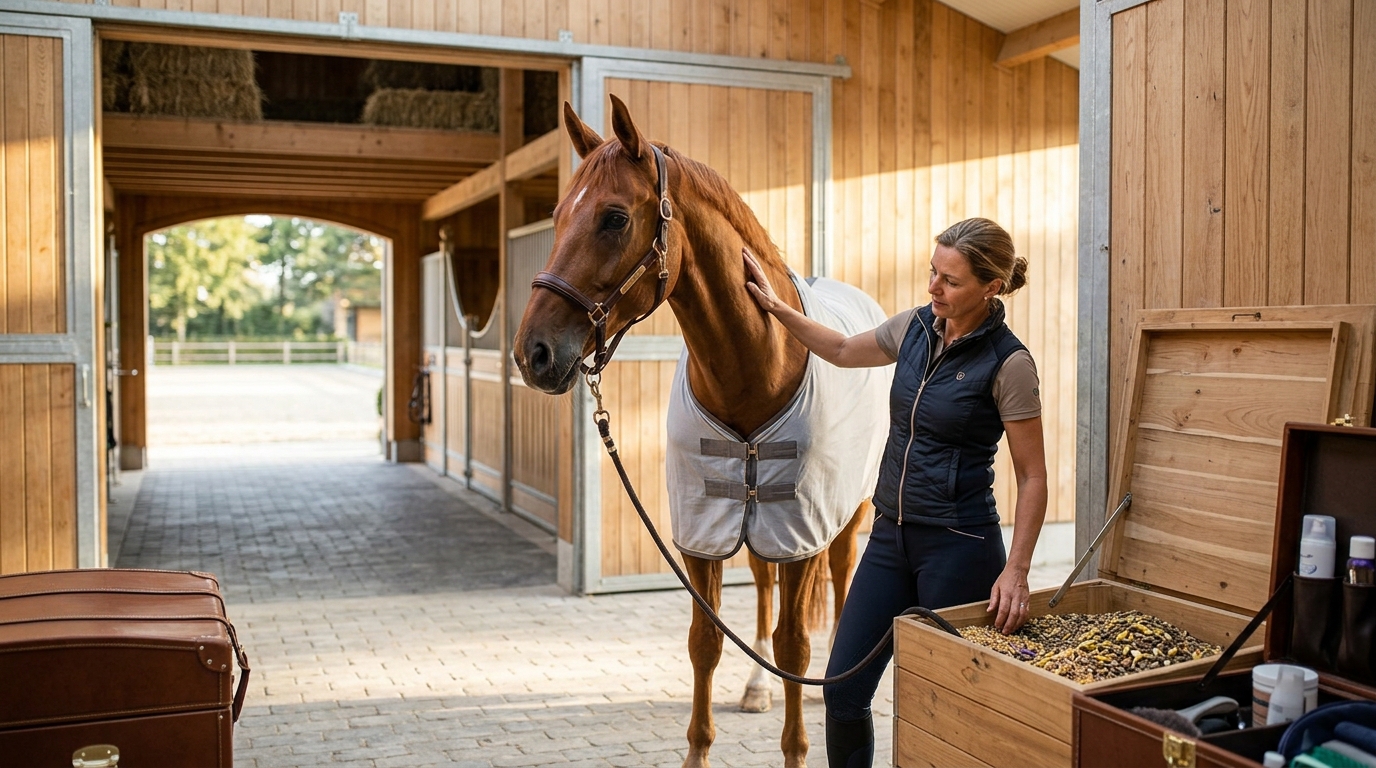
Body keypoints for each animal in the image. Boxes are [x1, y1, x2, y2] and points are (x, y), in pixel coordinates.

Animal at [513, 94, 889, 768]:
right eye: (556, 216)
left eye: (614, 218)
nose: (533, 353)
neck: (756, 363)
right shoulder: (703, 531)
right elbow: (705, 643)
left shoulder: (801, 532)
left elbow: (795, 643)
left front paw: (797, 749)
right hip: (760, 526)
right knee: (761, 593)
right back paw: (757, 687)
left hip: (848, 511)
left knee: (842, 583)